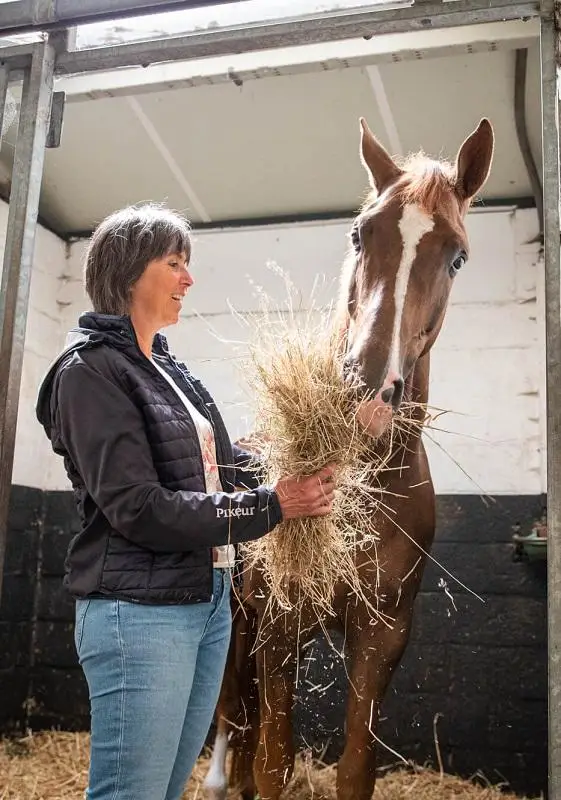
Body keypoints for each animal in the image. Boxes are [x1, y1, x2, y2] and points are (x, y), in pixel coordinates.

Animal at [203, 116, 495, 800]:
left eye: (457, 256)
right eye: (360, 234)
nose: (366, 392)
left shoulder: (381, 637)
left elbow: (354, 768)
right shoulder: (280, 628)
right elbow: (273, 762)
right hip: (238, 623)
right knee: (231, 722)